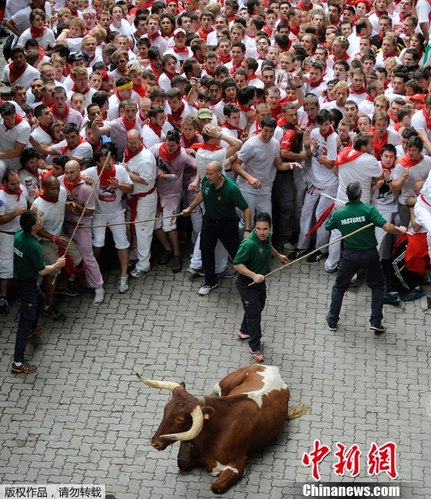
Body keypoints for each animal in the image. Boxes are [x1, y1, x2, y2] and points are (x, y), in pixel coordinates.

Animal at [137, 366, 308, 494]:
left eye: (180, 419)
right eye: (165, 410)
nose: (155, 442)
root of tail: (273, 369)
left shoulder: (238, 466)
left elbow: (216, 486)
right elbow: (182, 462)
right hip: (221, 385)